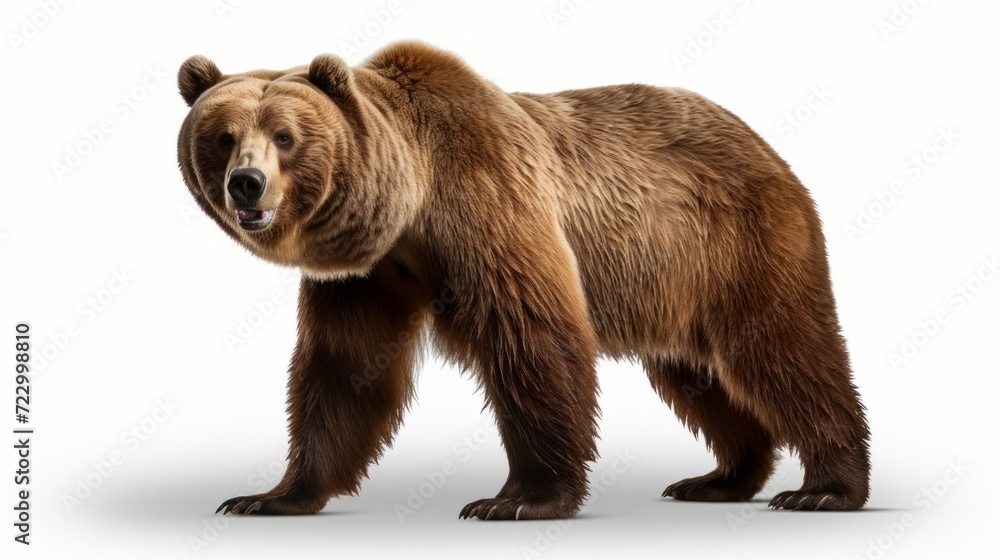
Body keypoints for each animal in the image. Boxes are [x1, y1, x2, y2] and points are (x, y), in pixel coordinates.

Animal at [176, 41, 870, 519]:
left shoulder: (489, 205)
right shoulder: (367, 276)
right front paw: (270, 495)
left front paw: (515, 498)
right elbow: (343, 370)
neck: (409, 205)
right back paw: (720, 478)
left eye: (286, 136)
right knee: (697, 375)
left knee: (782, 350)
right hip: (672, 284)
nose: (247, 184)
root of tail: (766, 146)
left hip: (734, 244)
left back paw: (826, 488)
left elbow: (532, 338)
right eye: (223, 136)